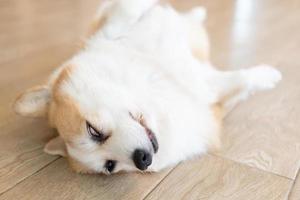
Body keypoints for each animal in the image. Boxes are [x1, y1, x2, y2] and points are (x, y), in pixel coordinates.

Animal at [14, 0, 282, 174]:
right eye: (110, 166)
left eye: (94, 131)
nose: (142, 160)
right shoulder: (210, 99)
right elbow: (240, 81)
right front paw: (269, 76)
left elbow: (125, 12)